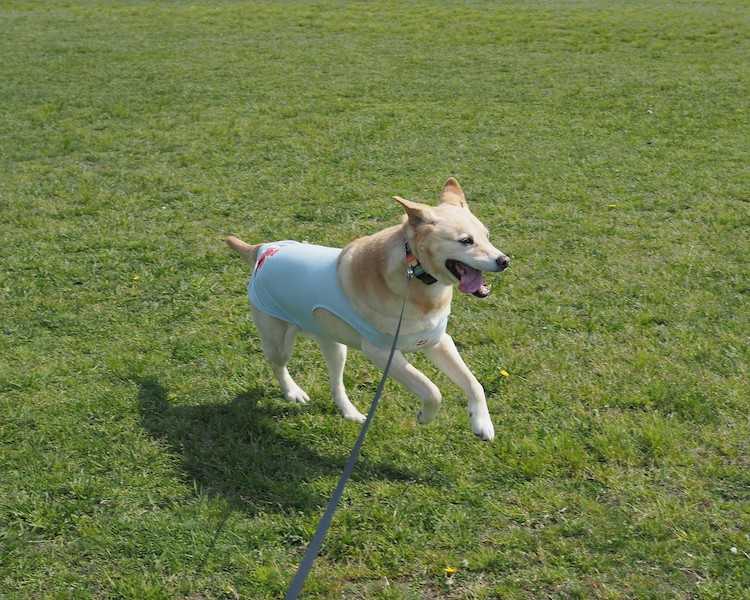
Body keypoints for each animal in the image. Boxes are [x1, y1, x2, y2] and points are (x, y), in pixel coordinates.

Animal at [226, 178, 512, 440]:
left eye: (487, 236)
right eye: (466, 241)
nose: (504, 260)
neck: (417, 276)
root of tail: (263, 250)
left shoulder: (438, 341)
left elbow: (474, 384)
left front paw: (482, 423)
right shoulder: (382, 353)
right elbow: (431, 390)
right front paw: (425, 415)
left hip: (334, 345)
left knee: (336, 383)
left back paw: (350, 412)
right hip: (278, 340)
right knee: (278, 366)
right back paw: (293, 392)